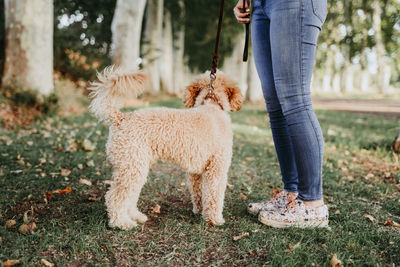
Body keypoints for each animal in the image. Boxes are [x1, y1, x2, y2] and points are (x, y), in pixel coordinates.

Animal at [89, 66, 242, 230]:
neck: (212, 104)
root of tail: (120, 118)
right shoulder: (217, 169)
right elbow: (214, 196)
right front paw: (214, 219)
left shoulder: (196, 173)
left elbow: (199, 193)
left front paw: (200, 211)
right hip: (132, 166)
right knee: (114, 197)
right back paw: (121, 222)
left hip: (134, 167)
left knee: (129, 195)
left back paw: (135, 216)